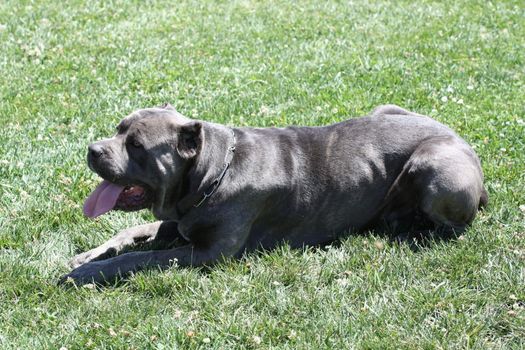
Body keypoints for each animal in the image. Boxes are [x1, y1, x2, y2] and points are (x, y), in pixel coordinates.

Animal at [58, 104, 488, 284]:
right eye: (118, 129)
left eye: (136, 145)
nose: (93, 149)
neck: (211, 171)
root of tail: (463, 142)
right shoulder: (177, 222)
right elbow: (131, 234)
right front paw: (88, 256)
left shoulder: (207, 253)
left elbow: (142, 258)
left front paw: (88, 272)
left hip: (434, 166)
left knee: (447, 226)